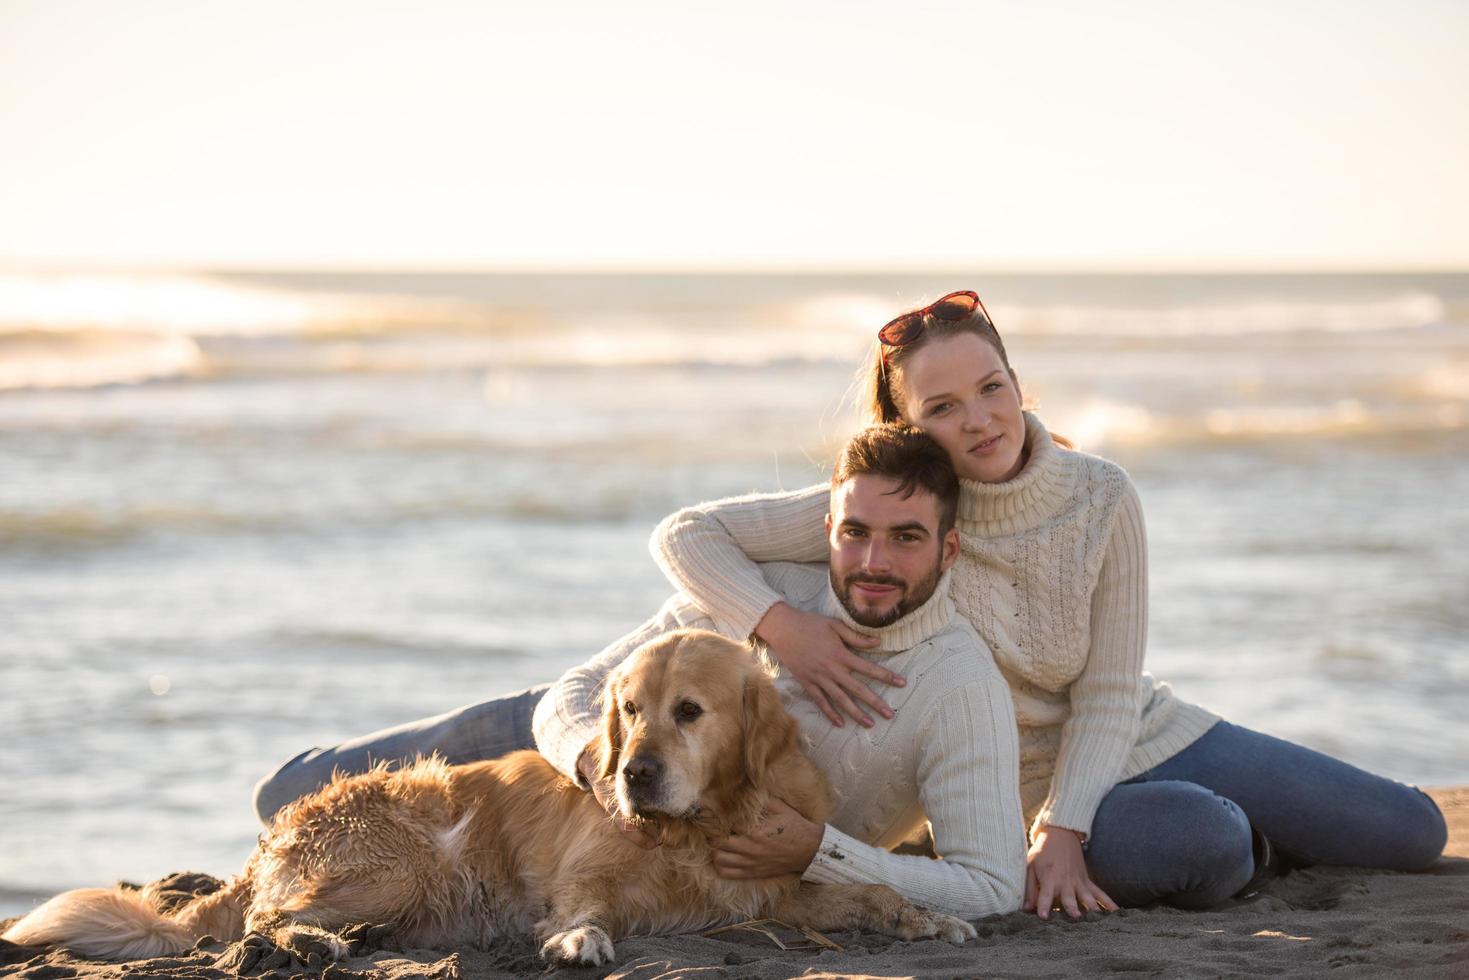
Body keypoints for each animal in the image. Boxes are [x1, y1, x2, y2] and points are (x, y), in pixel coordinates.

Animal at [11, 628, 981, 963]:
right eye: (629, 711)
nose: (632, 774)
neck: (697, 829)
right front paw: (578, 941)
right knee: (258, 922)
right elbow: (583, 906)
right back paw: (311, 940)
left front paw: (926, 917)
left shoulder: (765, 887)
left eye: (690, 712)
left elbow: (866, 889)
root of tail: (274, 839)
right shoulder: (586, 873)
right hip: (403, 863)